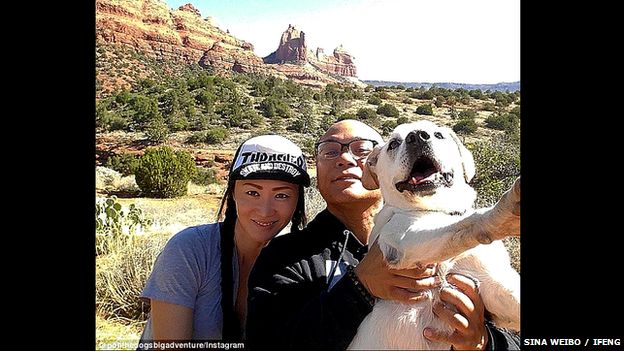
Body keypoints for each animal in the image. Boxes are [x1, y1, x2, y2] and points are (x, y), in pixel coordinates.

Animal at [348, 120, 520, 350]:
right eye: (393, 144)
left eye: (438, 134)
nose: (418, 136)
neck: (438, 209)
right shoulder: (404, 238)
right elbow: (465, 225)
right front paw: (504, 214)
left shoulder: (494, 286)